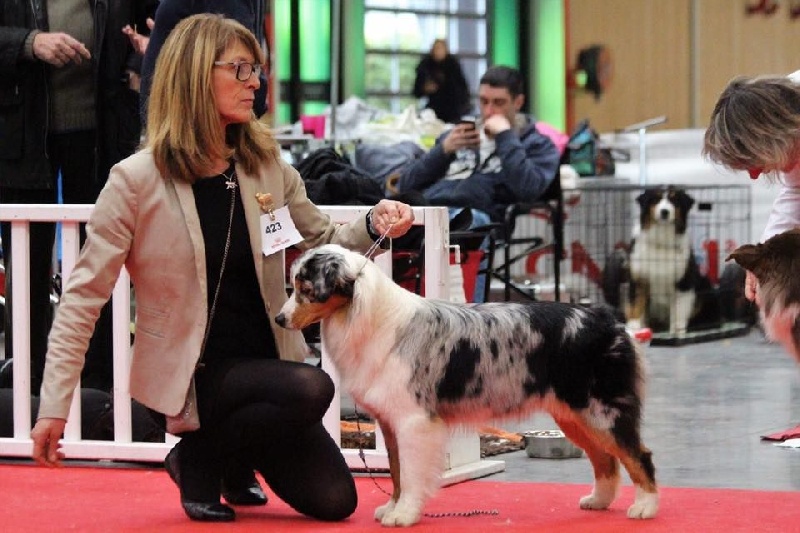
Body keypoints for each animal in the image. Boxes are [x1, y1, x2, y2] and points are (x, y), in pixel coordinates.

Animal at [275, 244, 659, 527]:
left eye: (306, 290)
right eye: (293, 287)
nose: (279, 318)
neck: (366, 315)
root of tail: (609, 320)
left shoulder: (414, 421)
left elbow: (410, 473)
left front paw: (404, 514)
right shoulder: (389, 420)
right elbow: (396, 470)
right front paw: (393, 508)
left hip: (602, 409)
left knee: (638, 455)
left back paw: (646, 507)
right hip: (573, 414)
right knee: (605, 459)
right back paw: (599, 500)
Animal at [626, 187, 702, 334]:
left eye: (674, 200)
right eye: (656, 199)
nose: (664, 212)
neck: (661, 241)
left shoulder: (683, 281)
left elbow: (679, 308)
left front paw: (677, 330)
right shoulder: (639, 279)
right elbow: (636, 304)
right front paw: (634, 327)